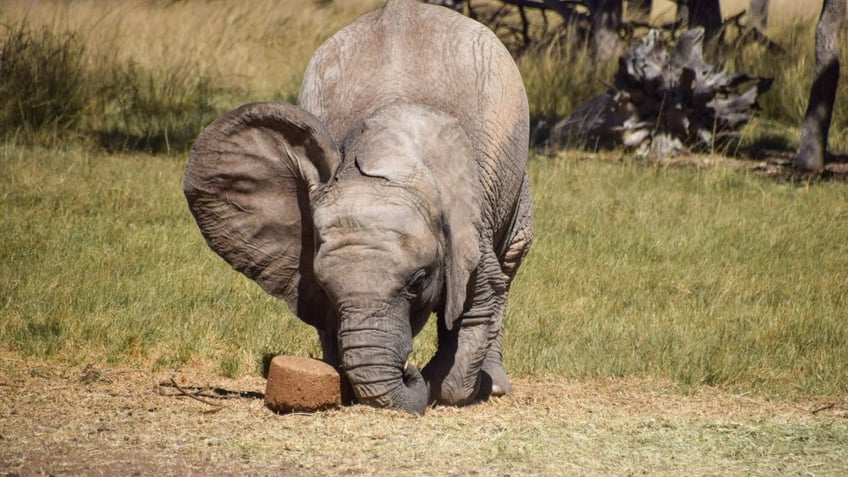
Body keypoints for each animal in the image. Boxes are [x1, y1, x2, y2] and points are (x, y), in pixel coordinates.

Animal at [183, 0, 532, 412]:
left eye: (418, 282)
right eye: (324, 284)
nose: (407, 369)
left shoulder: (468, 223)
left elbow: (479, 304)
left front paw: (441, 385)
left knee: (511, 259)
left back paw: (494, 387)